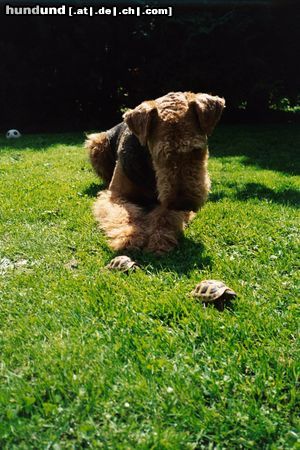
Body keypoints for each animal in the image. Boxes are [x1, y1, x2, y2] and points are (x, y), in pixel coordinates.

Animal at [85, 91, 224, 253]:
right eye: (160, 153)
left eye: (196, 150)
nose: (183, 203)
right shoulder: (115, 194)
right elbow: (124, 214)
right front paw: (129, 237)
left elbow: (164, 216)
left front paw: (159, 239)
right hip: (97, 143)